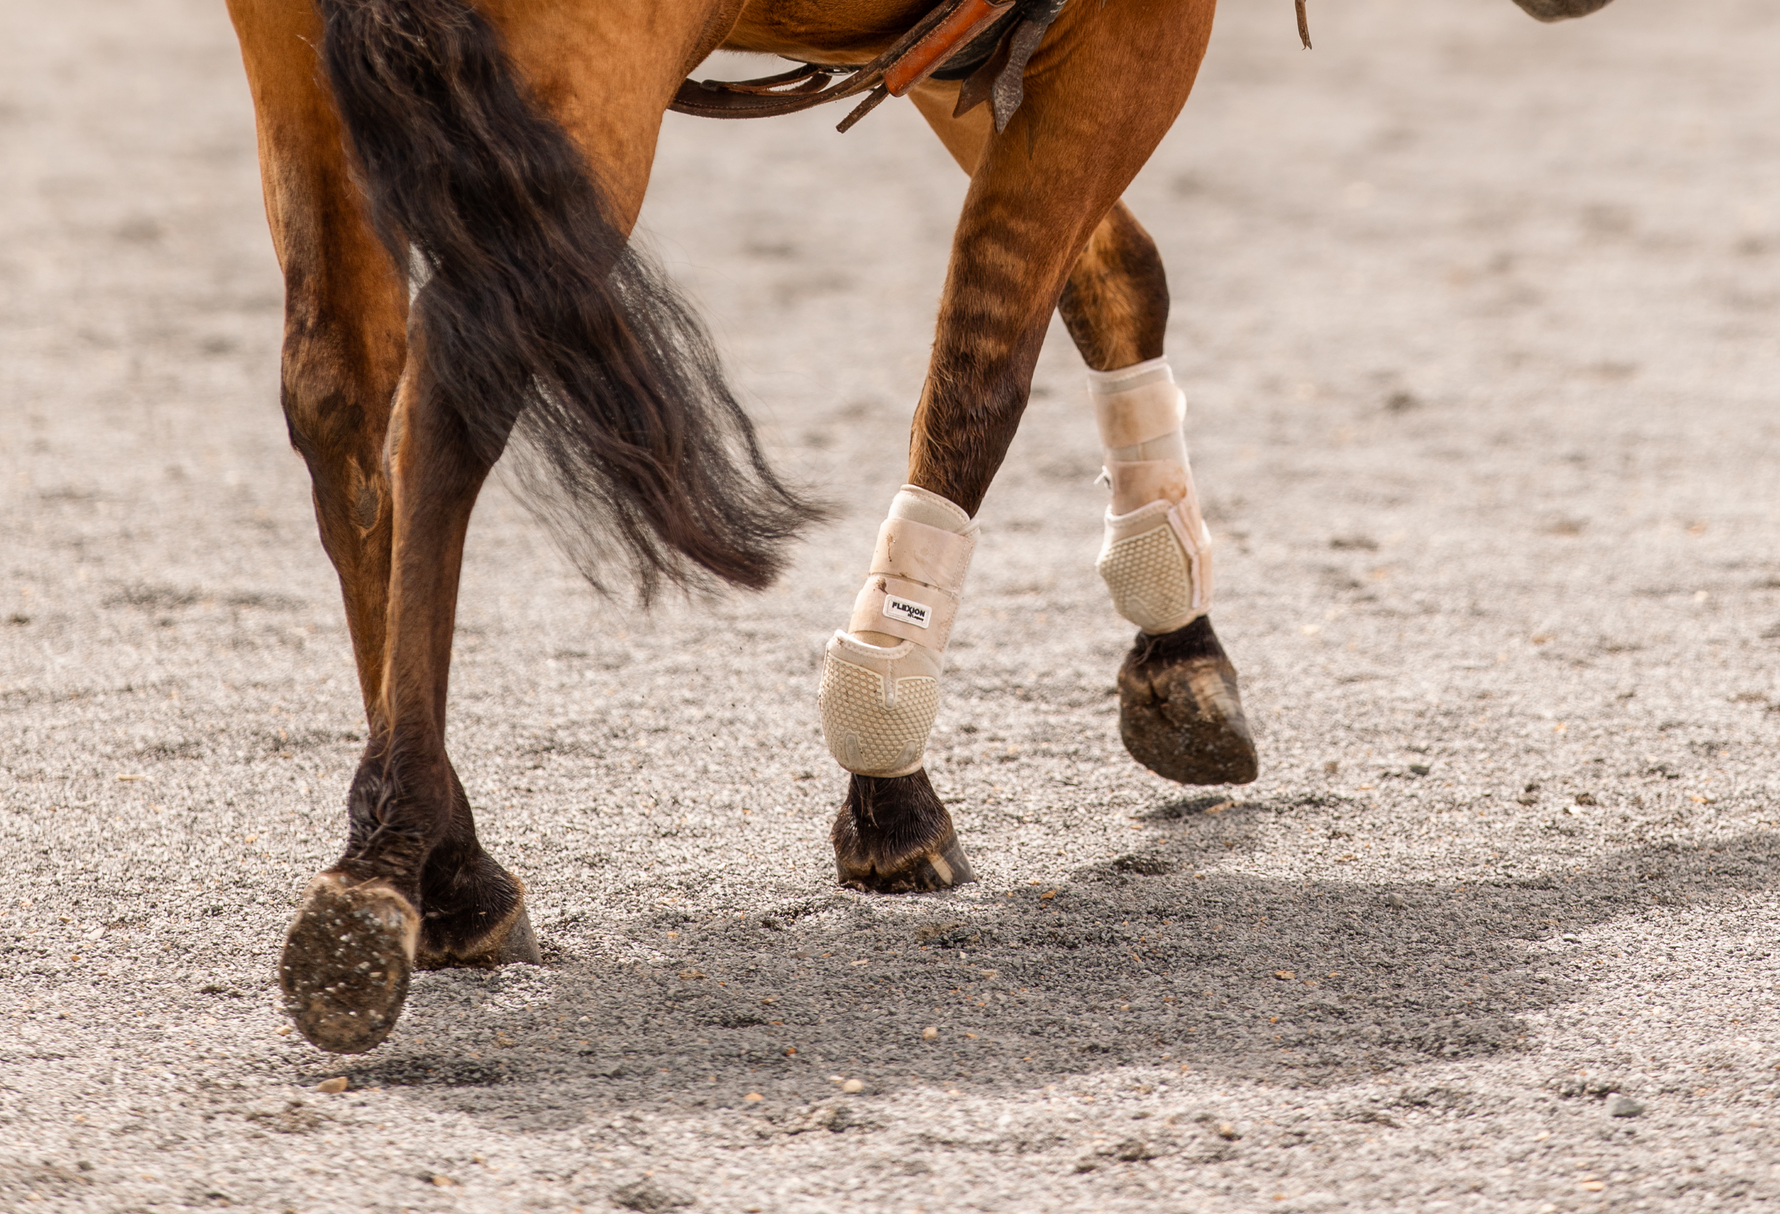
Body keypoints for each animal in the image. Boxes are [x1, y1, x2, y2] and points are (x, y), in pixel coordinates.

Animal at [223, 0, 1618, 1053]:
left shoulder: (974, 49)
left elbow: (1110, 274)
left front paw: (1175, 631)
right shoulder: (1131, 36)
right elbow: (982, 368)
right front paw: (888, 766)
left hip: (306, 75)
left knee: (341, 401)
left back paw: (448, 863)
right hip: (580, 74)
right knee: (449, 402)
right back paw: (396, 856)